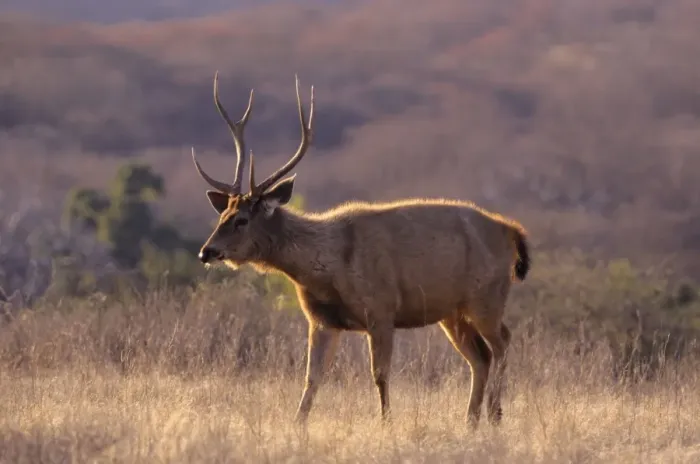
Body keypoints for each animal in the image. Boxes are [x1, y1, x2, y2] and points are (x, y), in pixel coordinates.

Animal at [190, 72, 531, 427]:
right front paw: (297, 424)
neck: (329, 268)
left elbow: (379, 374)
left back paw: (495, 414)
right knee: (480, 357)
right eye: (223, 215)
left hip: (487, 296)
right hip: (452, 311)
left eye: (241, 220)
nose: (206, 252)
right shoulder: (322, 320)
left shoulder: (381, 308)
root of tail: (511, 230)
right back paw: (471, 421)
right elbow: (312, 378)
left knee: (503, 342)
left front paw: (386, 423)